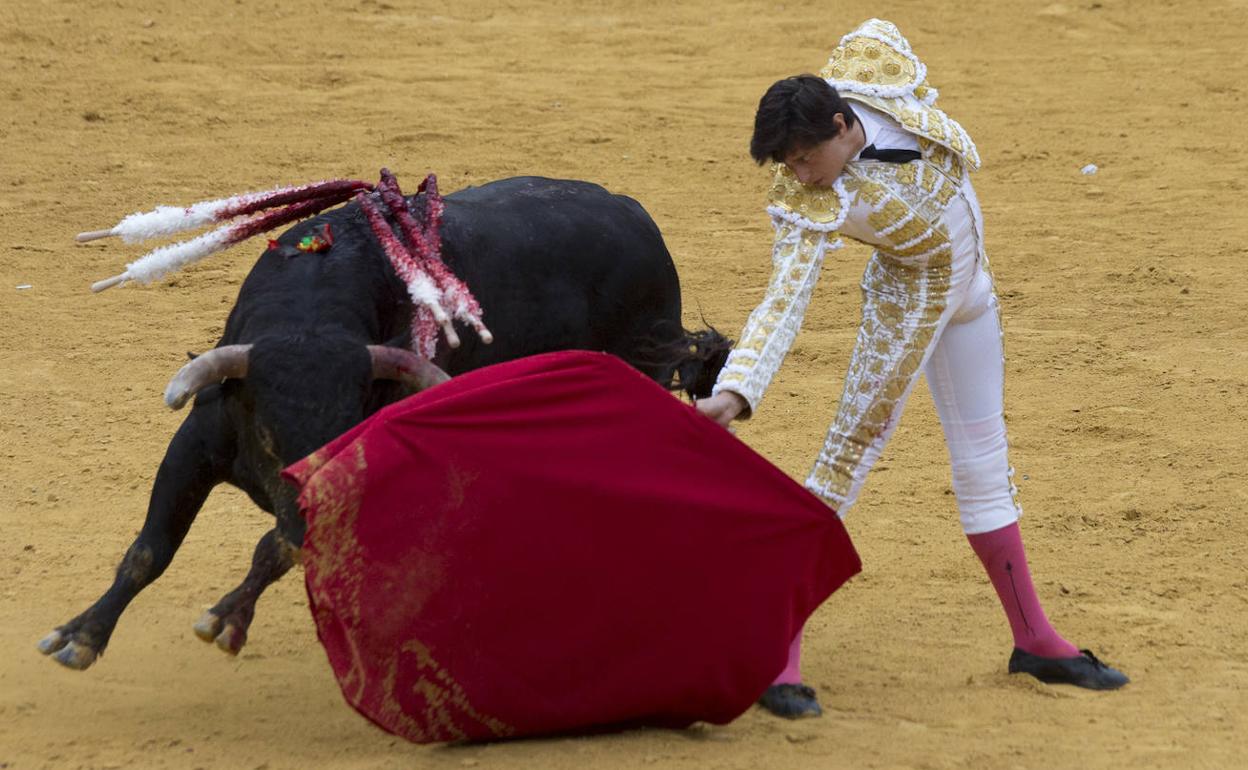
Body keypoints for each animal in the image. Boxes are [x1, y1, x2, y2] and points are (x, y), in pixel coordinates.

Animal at [39, 177, 728, 668]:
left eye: (347, 428)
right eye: (267, 436)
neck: (311, 317)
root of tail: (634, 215)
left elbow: (271, 546)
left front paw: (225, 618)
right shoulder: (197, 442)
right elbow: (149, 549)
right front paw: (80, 636)